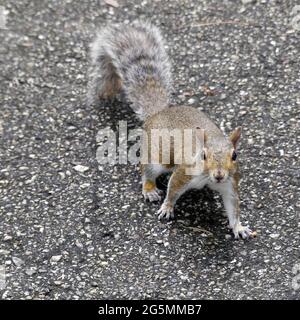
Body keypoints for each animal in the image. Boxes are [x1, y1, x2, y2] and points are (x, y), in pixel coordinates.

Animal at [88, 21, 254, 239]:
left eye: (234, 155)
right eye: (203, 155)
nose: (219, 175)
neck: (208, 177)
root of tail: (158, 113)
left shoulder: (230, 183)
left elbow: (233, 207)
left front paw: (239, 227)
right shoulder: (184, 173)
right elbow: (172, 190)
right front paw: (167, 207)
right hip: (157, 156)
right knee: (147, 171)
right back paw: (150, 189)